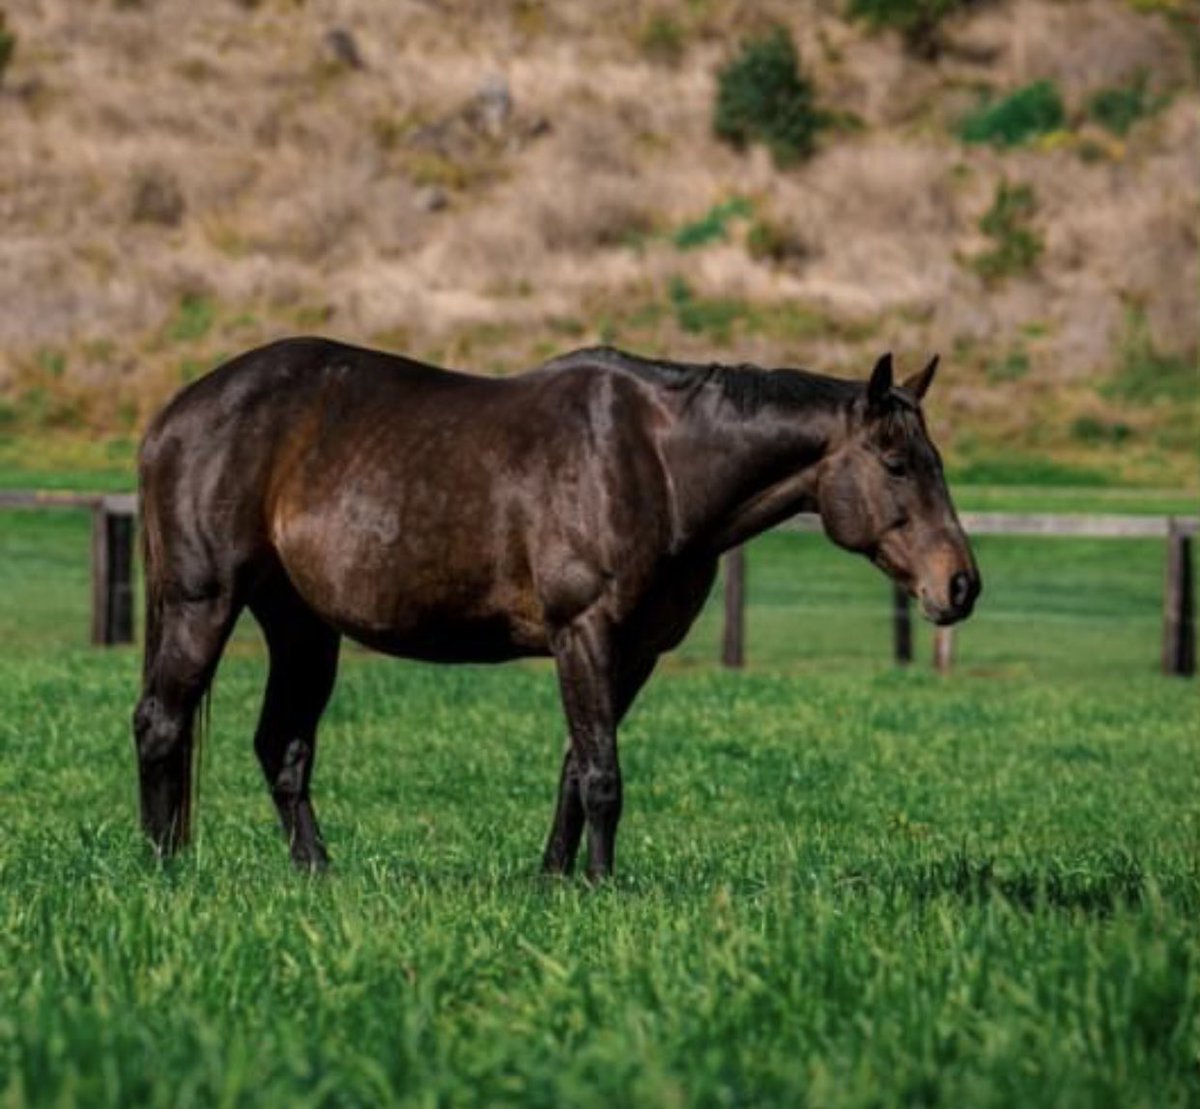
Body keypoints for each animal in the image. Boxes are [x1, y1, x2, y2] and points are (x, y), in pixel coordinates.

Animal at [133, 339, 980, 880]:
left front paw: (555, 878)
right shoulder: (585, 632)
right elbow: (604, 771)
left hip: (303, 626)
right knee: (160, 721)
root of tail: (176, 412)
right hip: (204, 601)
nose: (961, 585)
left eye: (935, 461)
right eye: (897, 463)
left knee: (281, 745)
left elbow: (576, 764)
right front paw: (602, 886)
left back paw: (316, 870)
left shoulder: (633, 651)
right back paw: (161, 864)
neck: (659, 464)